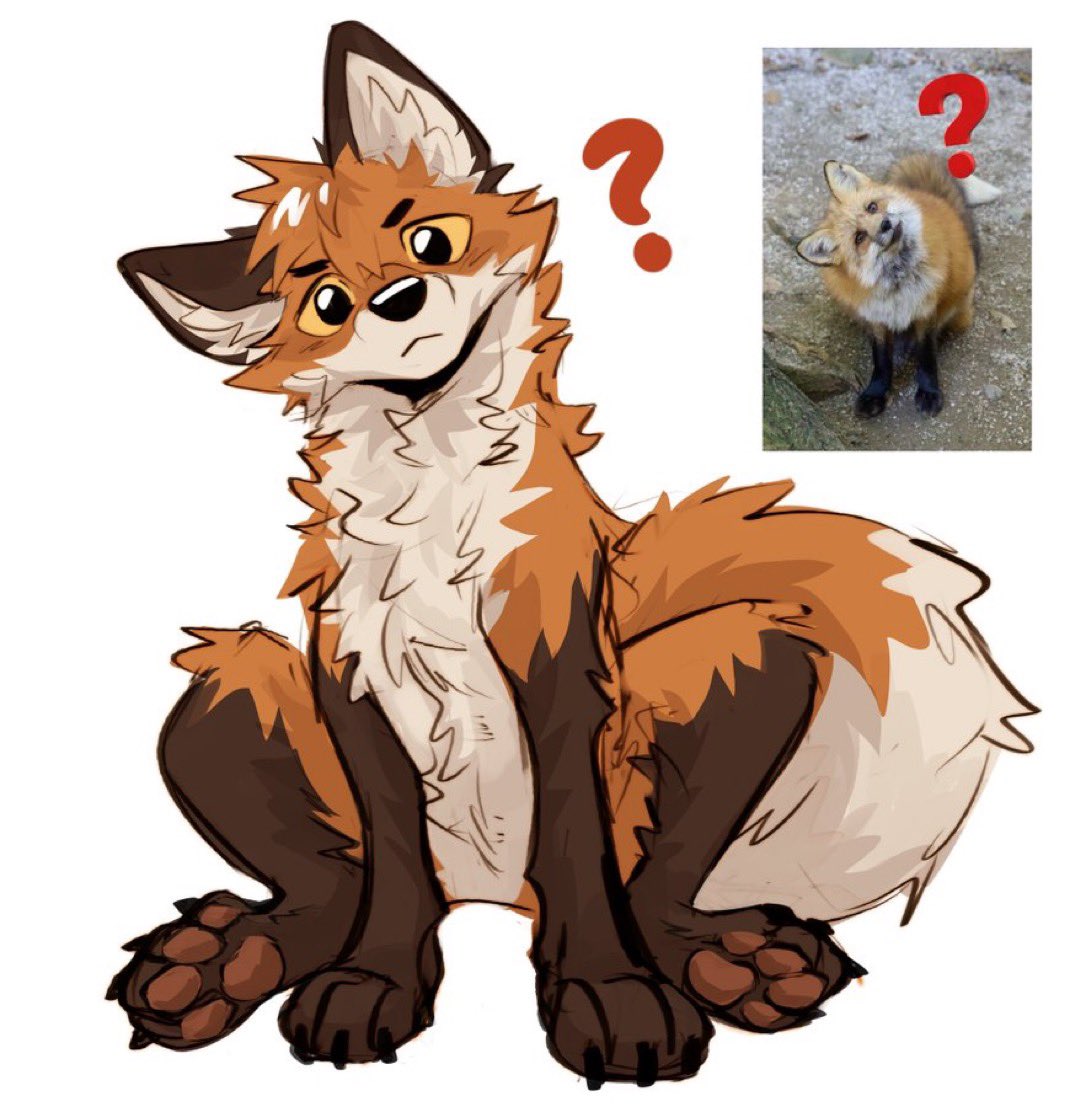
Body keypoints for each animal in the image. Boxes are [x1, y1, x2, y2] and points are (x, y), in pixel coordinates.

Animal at [797, 155, 984, 418]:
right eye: (860, 238)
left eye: (872, 207)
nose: (885, 224)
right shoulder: (876, 318)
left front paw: (929, 392)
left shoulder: (925, 310)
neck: (898, 282)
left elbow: (927, 356)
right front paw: (876, 393)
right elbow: (881, 361)